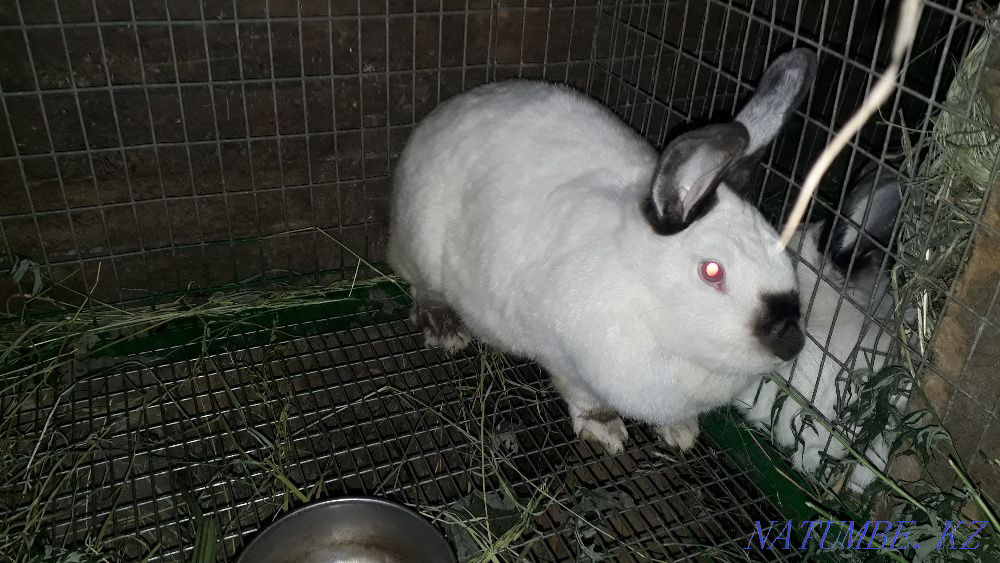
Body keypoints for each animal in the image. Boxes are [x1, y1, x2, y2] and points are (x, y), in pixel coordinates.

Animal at [388, 49, 817, 455]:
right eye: (712, 271)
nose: (791, 343)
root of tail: (447, 110)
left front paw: (681, 432)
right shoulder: (563, 361)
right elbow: (584, 397)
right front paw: (605, 430)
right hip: (421, 246)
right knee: (422, 288)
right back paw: (445, 331)